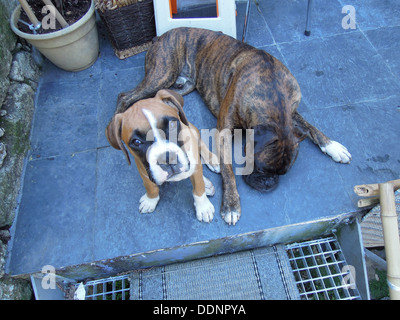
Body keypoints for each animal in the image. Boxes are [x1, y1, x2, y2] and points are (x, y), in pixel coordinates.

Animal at [104, 89, 220, 222]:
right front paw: (150, 200)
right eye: (136, 142)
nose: (168, 159)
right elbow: (150, 186)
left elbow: (198, 188)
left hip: (192, 130)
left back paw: (211, 161)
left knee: (200, 144)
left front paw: (203, 207)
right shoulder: (143, 170)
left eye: (172, 124)